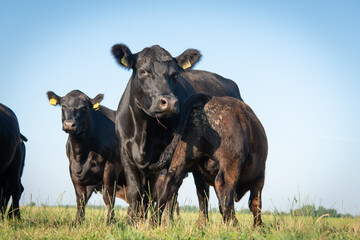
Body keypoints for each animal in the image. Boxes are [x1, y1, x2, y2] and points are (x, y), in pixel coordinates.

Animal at [47, 90, 126, 223]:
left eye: (84, 107)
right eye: (63, 106)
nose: (69, 124)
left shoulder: (112, 165)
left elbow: (108, 196)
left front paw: (109, 222)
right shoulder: (73, 170)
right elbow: (81, 198)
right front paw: (78, 222)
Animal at [111, 43, 243, 221]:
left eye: (175, 74)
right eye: (143, 70)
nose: (169, 102)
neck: (144, 131)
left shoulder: (169, 158)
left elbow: (162, 194)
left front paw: (155, 223)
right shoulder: (126, 154)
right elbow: (136, 193)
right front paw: (134, 223)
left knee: (202, 194)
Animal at [152, 94, 268, 226]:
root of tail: (206, 98)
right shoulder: (259, 178)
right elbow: (255, 204)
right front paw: (258, 227)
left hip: (181, 158)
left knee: (169, 185)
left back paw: (157, 222)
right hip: (231, 163)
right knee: (224, 186)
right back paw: (235, 225)